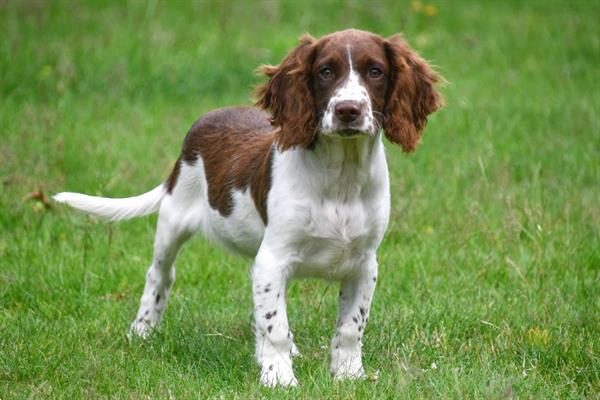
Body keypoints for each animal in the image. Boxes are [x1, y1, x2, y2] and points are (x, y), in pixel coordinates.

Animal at [55, 28, 440, 388]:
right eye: (326, 71)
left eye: (375, 71)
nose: (348, 111)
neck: (340, 176)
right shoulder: (274, 258)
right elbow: (276, 326)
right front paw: (279, 378)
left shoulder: (363, 263)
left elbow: (350, 326)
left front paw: (348, 375)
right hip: (174, 219)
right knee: (159, 275)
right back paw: (142, 330)